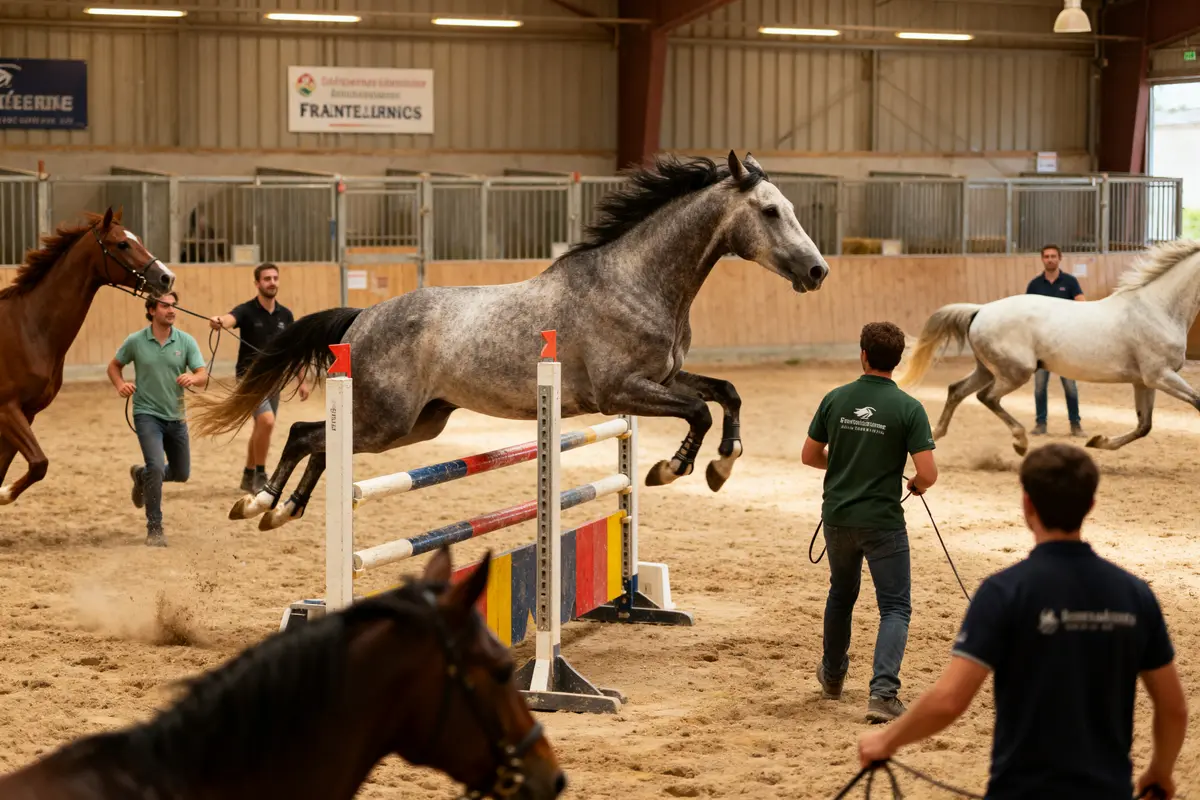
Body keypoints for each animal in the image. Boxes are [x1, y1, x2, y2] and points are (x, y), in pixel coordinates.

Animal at [0, 207, 176, 506]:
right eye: (122, 244)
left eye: (138, 239)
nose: (166, 277)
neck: (28, 326)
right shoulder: (7, 409)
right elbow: (39, 463)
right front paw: (5, 494)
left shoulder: (26, 413)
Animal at [192, 151, 830, 531]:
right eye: (770, 212)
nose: (819, 271)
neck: (638, 279)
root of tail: (363, 316)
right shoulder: (622, 392)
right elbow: (699, 410)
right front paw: (673, 469)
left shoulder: (663, 378)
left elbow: (726, 394)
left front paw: (722, 464)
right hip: (385, 419)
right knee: (307, 434)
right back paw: (260, 503)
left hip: (419, 424)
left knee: (322, 444)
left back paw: (283, 509)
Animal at [894, 239, 1200, 455]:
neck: (1157, 308)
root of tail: (980, 310)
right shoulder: (1159, 376)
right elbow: (1195, 403)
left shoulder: (1145, 381)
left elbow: (1144, 425)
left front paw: (1097, 441)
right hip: (1016, 371)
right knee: (987, 397)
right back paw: (1020, 442)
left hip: (989, 369)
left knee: (957, 390)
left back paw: (936, 434)